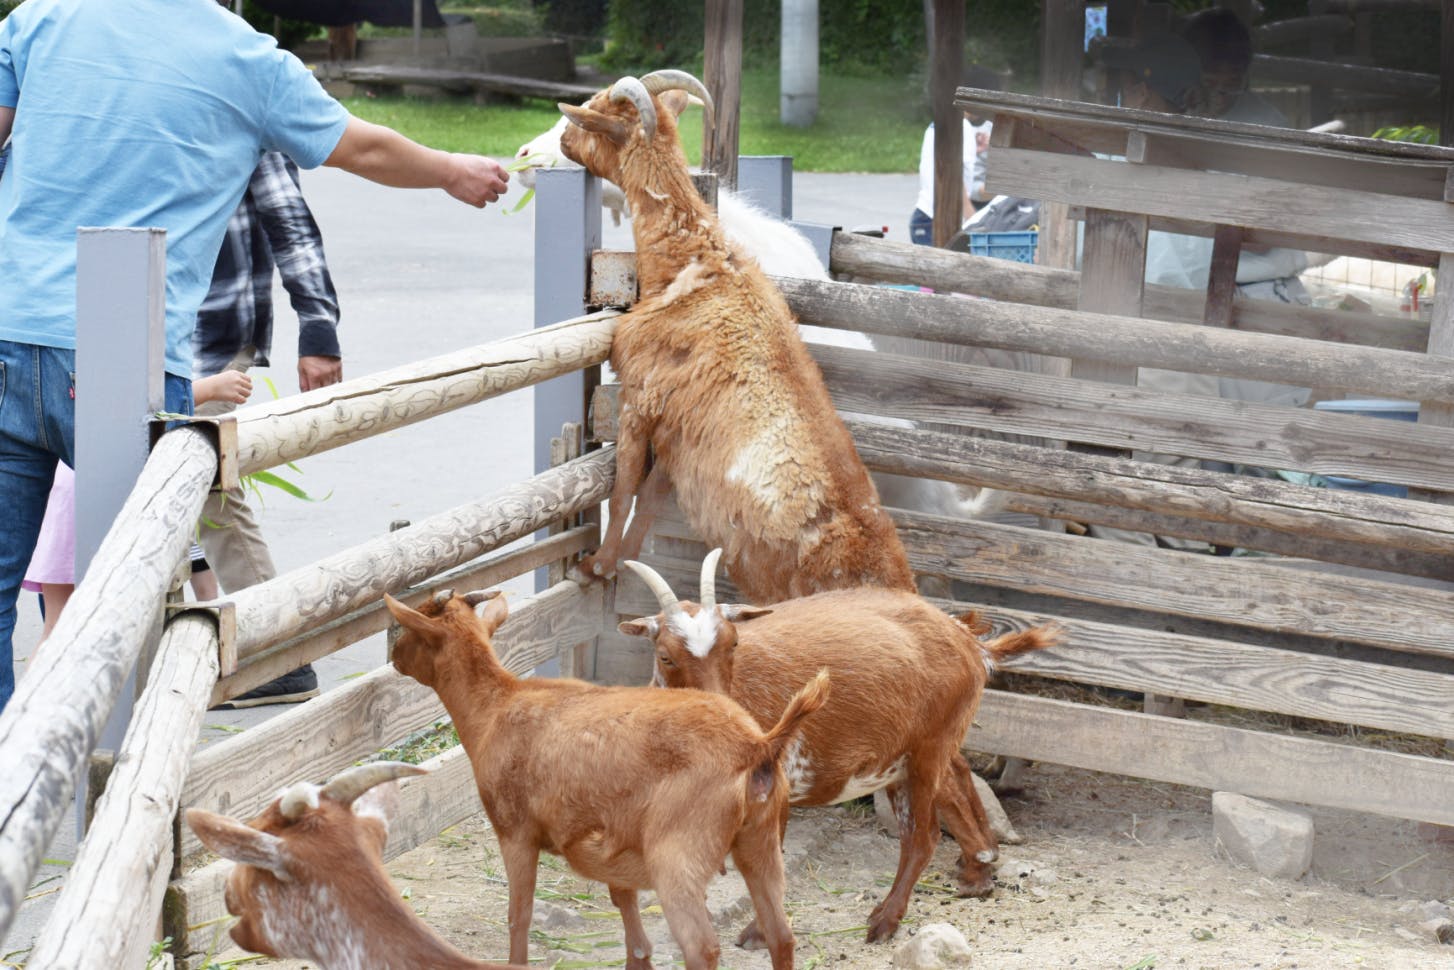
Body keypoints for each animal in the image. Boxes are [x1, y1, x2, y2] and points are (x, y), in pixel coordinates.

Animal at [385, 587, 830, 970]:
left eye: (411, 625)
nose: (392, 654)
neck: (494, 707)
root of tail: (757, 745)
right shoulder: (615, 843)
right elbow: (625, 907)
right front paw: (638, 958)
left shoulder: (515, 831)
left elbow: (518, 916)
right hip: (761, 839)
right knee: (781, 935)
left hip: (679, 853)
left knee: (702, 948)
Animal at [554, 71, 915, 603]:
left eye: (595, 113)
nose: (562, 136)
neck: (696, 264)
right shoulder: (677, 439)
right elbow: (648, 502)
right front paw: (627, 563)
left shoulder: (641, 399)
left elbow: (622, 496)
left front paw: (595, 567)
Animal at [619, 552, 1061, 943]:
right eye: (665, 657)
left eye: (733, 645)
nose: (722, 713)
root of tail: (970, 640)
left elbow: (769, 862)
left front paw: (759, 933)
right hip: (906, 757)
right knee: (956, 781)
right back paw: (977, 870)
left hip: (928, 750)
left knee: (922, 837)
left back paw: (886, 920)